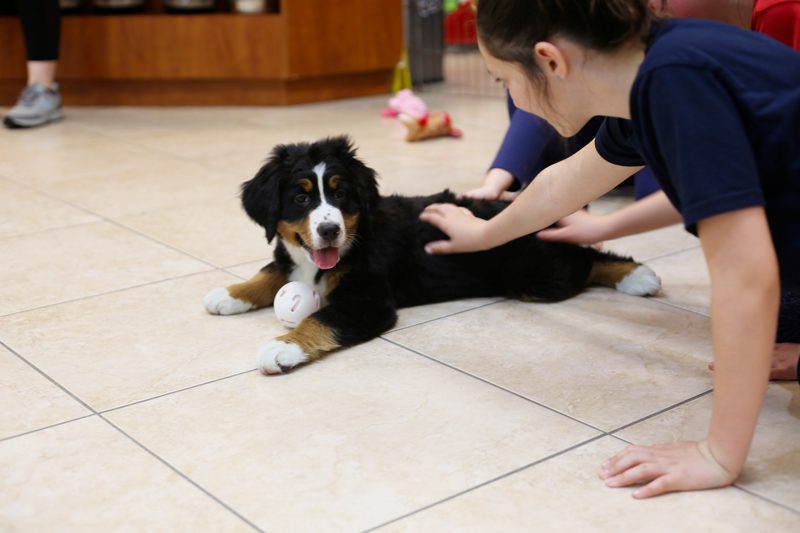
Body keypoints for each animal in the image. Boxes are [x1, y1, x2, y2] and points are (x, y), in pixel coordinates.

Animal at [203, 137, 660, 374]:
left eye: (341, 193)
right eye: (300, 197)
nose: (330, 230)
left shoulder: (369, 300)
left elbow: (321, 318)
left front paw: (282, 347)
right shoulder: (290, 257)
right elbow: (270, 271)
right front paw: (230, 294)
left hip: (532, 274)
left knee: (585, 260)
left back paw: (637, 276)